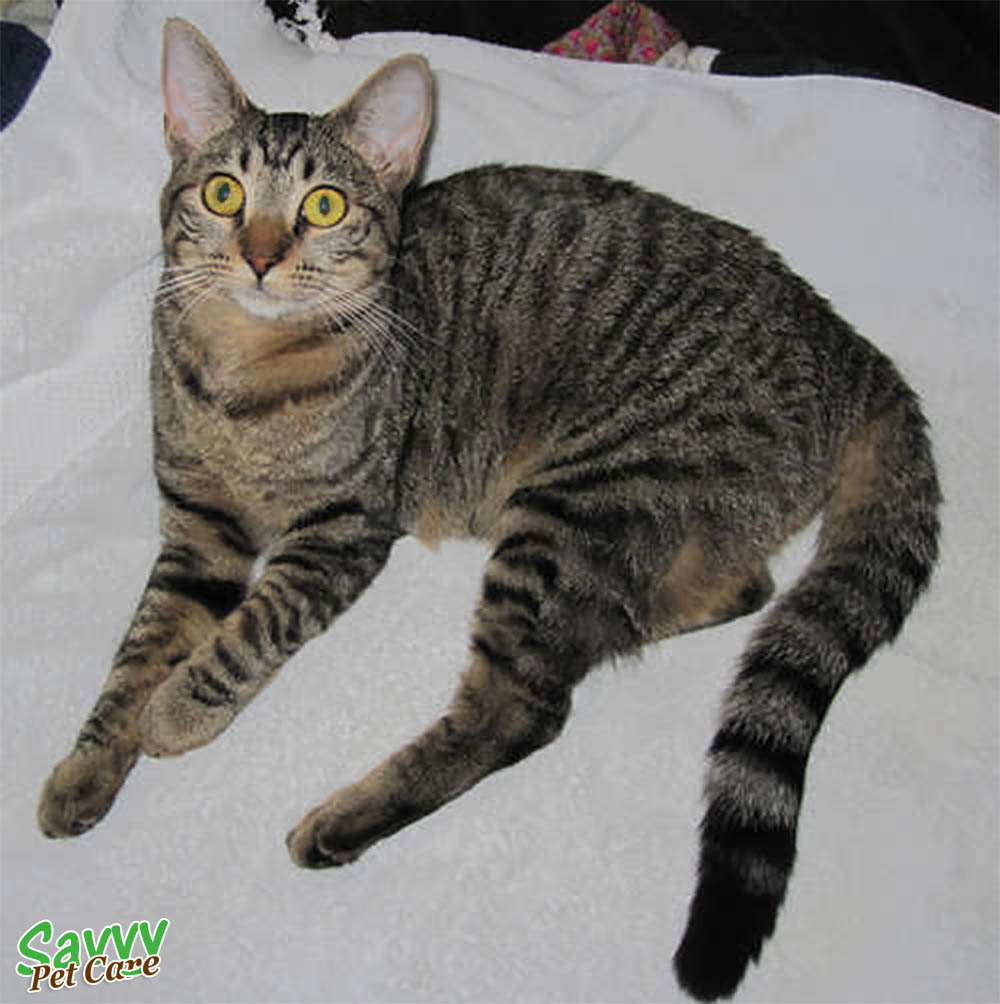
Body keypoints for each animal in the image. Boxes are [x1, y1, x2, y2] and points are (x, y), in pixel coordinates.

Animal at [39, 17, 939, 1003]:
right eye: (223, 191)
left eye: (324, 207)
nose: (262, 255)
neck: (244, 373)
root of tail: (845, 341)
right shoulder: (199, 532)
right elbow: (138, 652)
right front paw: (88, 765)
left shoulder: (342, 533)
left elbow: (246, 632)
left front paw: (178, 711)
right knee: (727, 592)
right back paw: (631, 622)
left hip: (575, 499)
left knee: (521, 705)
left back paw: (347, 816)